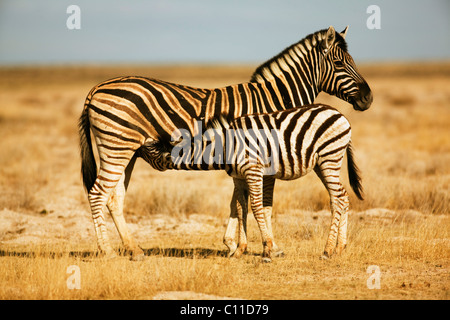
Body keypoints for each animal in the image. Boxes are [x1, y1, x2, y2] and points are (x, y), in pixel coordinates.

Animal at [167, 104, 364, 262]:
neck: (226, 146)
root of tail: (340, 114)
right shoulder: (239, 178)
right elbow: (241, 208)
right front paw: (240, 250)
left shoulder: (253, 170)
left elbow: (256, 207)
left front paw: (267, 249)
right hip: (321, 164)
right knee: (343, 196)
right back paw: (340, 247)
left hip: (329, 157)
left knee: (336, 199)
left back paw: (328, 250)